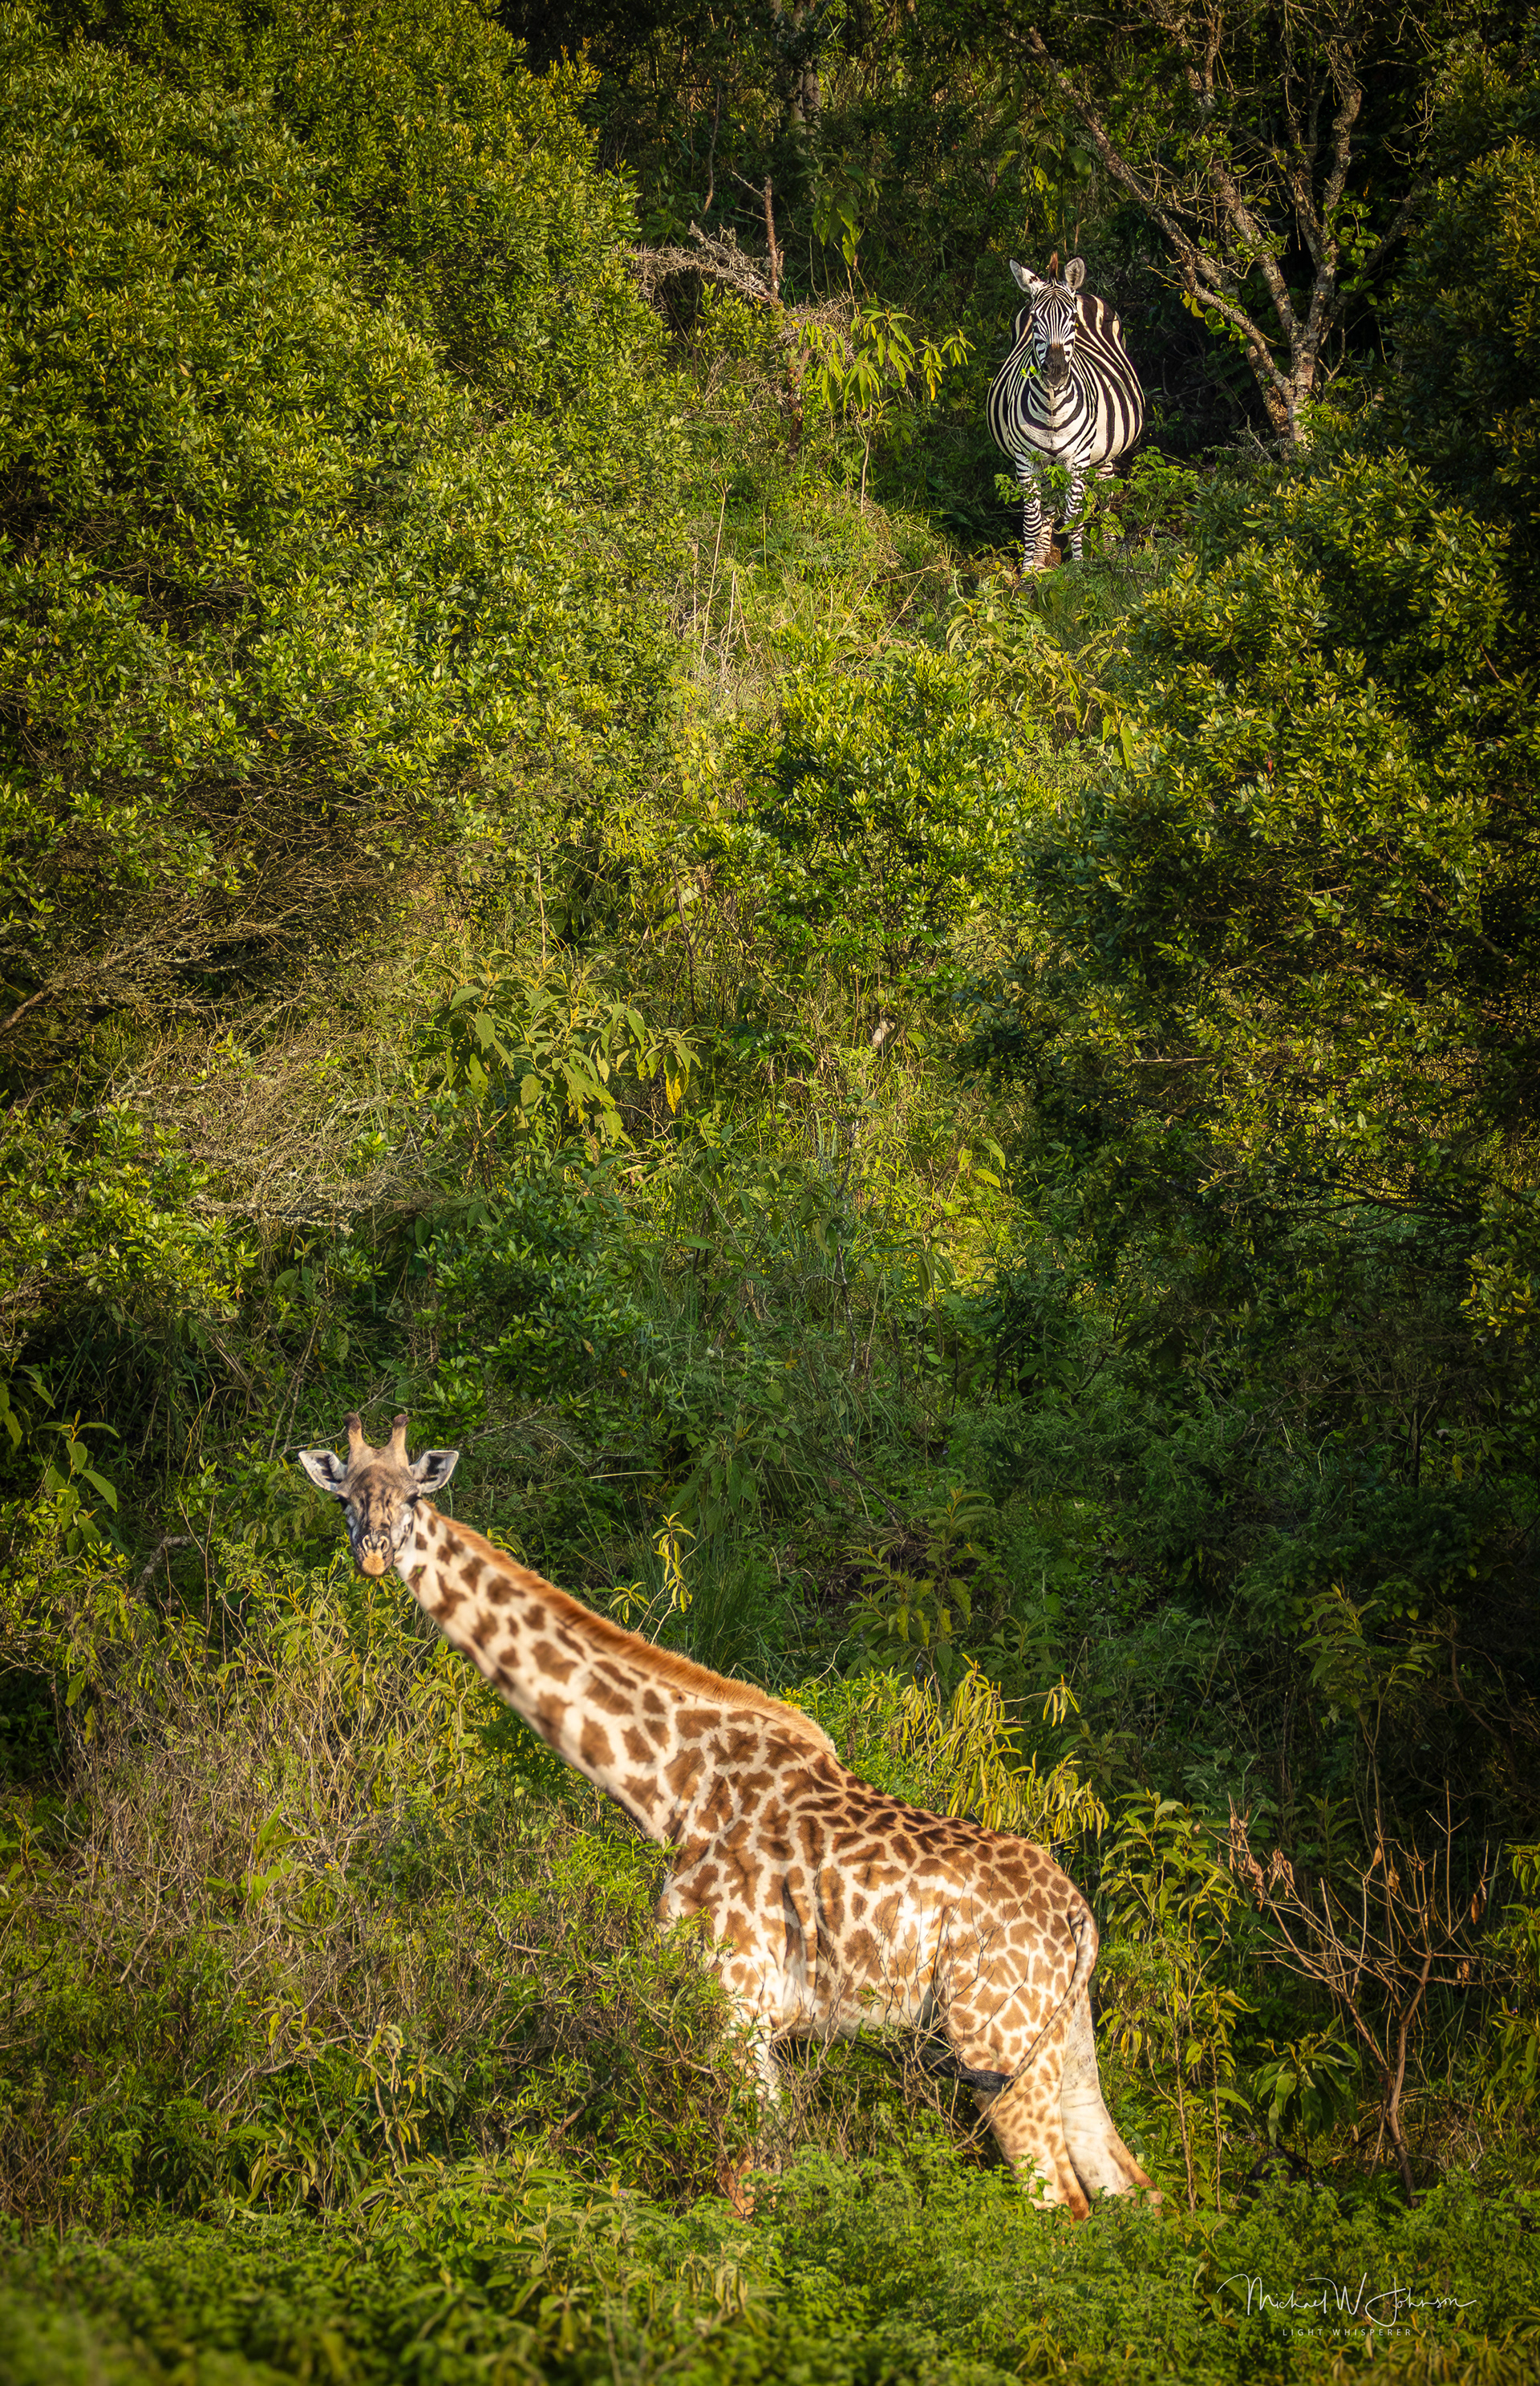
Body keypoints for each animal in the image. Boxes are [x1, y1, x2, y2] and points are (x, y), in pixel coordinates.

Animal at [298, 1413, 1156, 2217]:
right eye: (344, 1499)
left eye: (414, 1495)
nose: (374, 1552)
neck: (671, 1788)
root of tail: (1080, 1918)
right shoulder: (755, 2022)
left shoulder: (737, 2005)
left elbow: (742, 2190)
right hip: (1065, 2040)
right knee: (1129, 2188)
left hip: (994, 2038)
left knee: (1062, 2203)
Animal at [986, 255, 1144, 572]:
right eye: (1035, 320)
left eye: (1072, 320)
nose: (1056, 371)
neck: (1051, 409)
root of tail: (1082, 292)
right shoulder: (1026, 460)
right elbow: (1033, 517)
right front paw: (1030, 569)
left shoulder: (1077, 460)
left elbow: (1074, 516)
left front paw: (1079, 567)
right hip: (1048, 463)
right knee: (1047, 505)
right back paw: (1042, 555)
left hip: (1105, 452)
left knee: (1105, 493)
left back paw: (1109, 550)